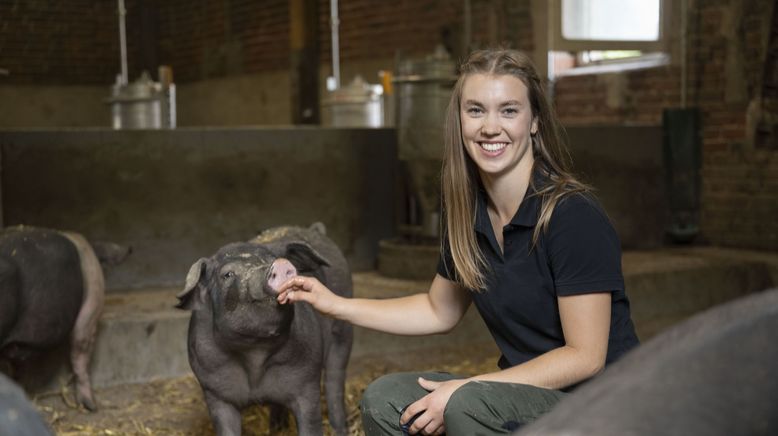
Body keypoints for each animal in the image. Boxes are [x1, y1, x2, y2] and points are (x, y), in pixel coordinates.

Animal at [176, 225, 352, 436]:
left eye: (272, 259)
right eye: (228, 275)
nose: (280, 264)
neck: (255, 355)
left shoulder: (308, 385)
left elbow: (311, 423)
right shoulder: (215, 394)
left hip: (343, 334)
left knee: (335, 381)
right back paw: (277, 427)